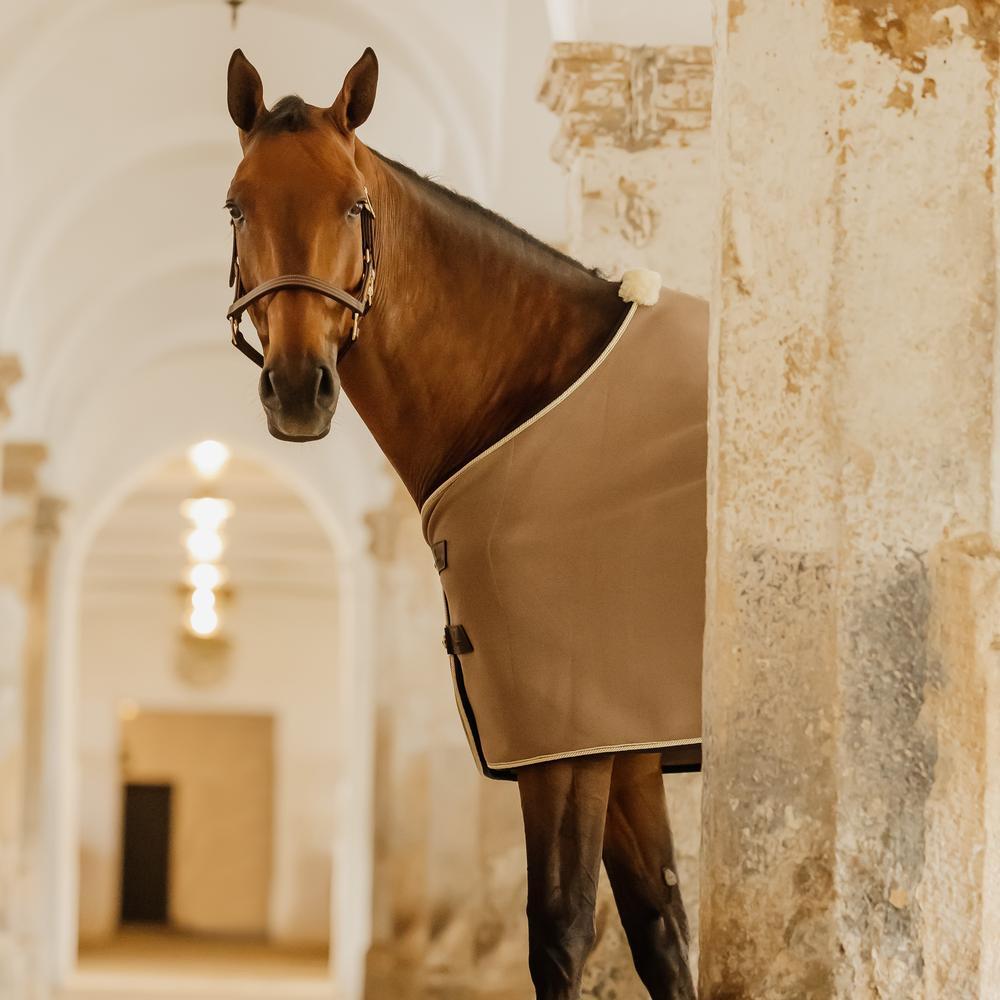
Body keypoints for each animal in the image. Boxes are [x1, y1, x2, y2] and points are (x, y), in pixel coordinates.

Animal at [223, 47, 705, 1000]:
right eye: (237, 205)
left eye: (354, 205)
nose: (297, 389)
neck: (535, 392)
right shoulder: (630, 741)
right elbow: (660, 930)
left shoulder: (566, 741)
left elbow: (561, 931)